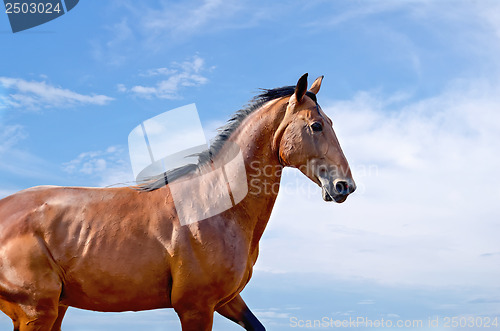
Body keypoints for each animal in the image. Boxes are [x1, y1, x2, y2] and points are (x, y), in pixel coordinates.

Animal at [0, 74, 356, 330]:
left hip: (54, 309)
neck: (217, 205)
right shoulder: (195, 307)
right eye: (316, 125)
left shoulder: (228, 300)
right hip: (36, 311)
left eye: (330, 123)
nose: (344, 186)